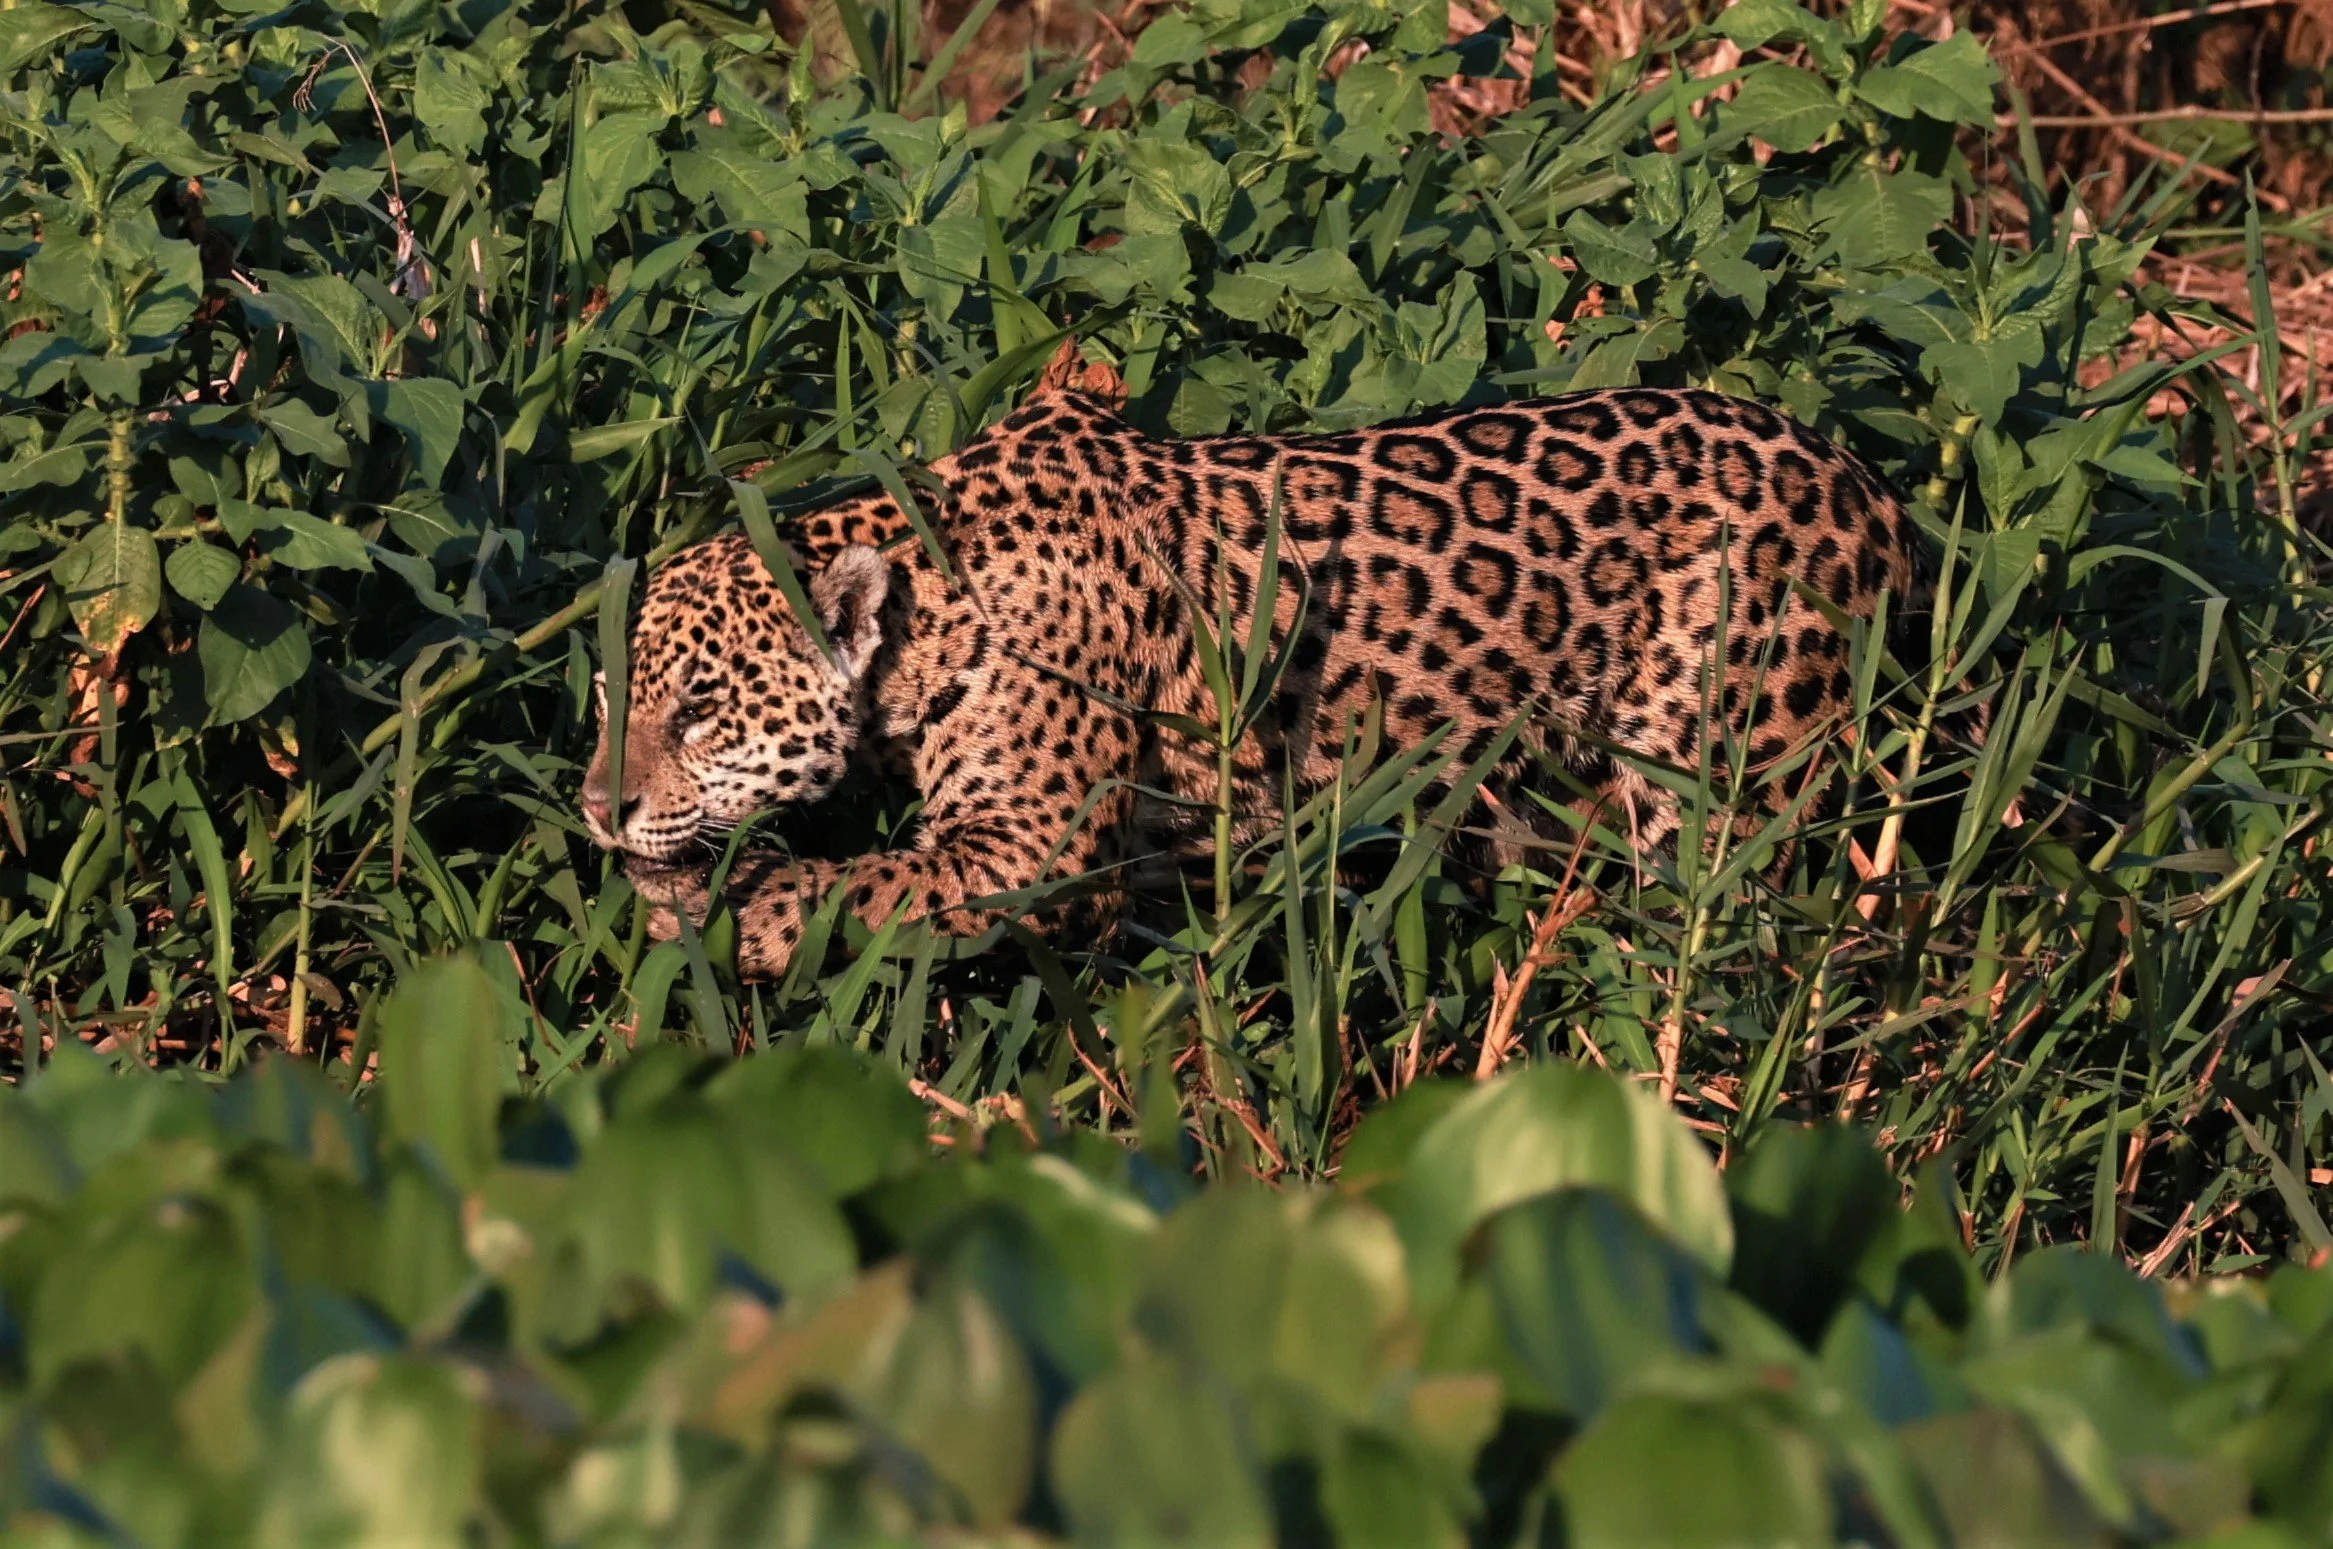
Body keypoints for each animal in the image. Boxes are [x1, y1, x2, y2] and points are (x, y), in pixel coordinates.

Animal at [581, 352, 1927, 979]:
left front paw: (704, 909)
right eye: (609, 697)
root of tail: (1869, 488)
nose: (599, 809)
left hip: (1730, 782)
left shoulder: (1034, 852)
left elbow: (853, 889)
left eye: (699, 710)